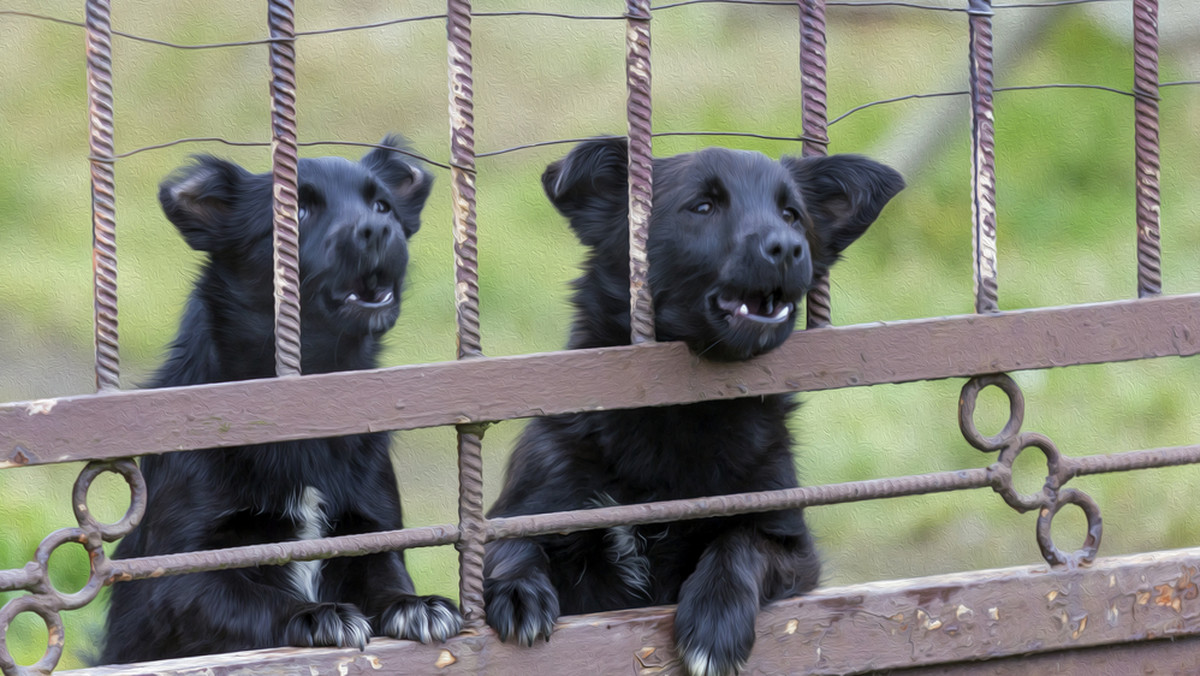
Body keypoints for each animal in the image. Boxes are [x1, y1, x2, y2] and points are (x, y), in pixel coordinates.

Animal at [100, 135, 463, 662]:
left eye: (382, 206)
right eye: (297, 211)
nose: (379, 229)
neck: (308, 401)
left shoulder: (372, 532)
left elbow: (386, 578)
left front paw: (416, 605)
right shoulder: (179, 576)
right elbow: (251, 597)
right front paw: (315, 614)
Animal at [480, 137, 902, 676]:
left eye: (791, 215)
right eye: (702, 207)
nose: (788, 248)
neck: (680, 415)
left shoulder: (791, 543)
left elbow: (740, 542)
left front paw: (716, 620)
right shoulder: (532, 505)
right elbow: (510, 542)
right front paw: (518, 588)